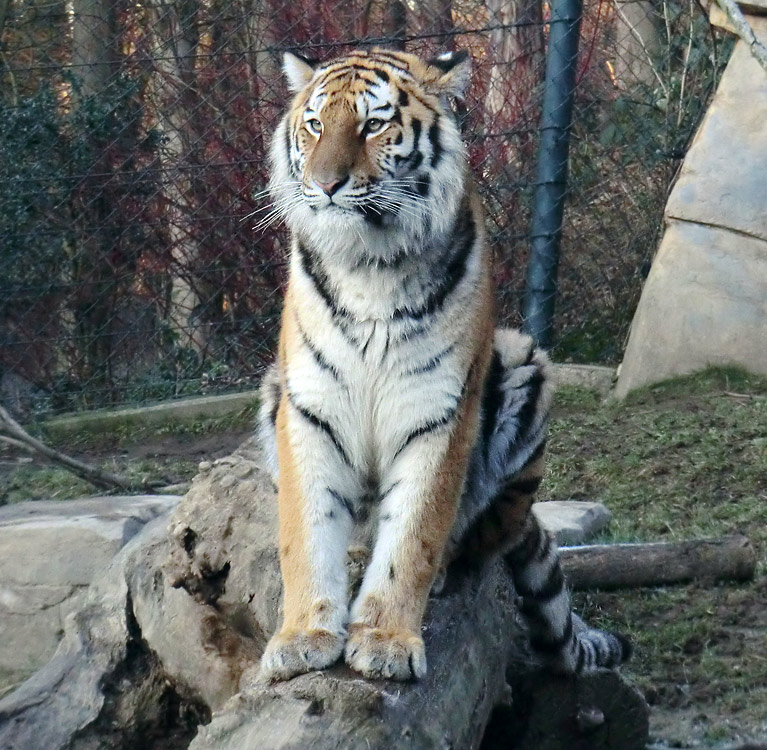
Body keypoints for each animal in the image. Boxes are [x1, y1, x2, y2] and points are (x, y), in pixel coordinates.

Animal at [258, 45, 632, 680]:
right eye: (314, 125)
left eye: (373, 125)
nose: (325, 184)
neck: (368, 263)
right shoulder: (309, 406)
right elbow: (305, 532)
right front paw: (304, 634)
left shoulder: (437, 411)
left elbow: (414, 536)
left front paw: (385, 641)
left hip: (524, 362)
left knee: (480, 540)